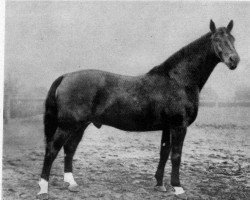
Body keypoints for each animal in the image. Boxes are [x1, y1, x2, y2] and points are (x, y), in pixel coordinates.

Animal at [36, 19, 238, 198]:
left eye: (233, 39)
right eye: (217, 40)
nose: (234, 60)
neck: (178, 80)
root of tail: (66, 76)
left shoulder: (167, 127)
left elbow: (164, 153)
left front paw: (159, 185)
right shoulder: (178, 126)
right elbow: (176, 156)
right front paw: (178, 188)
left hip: (80, 125)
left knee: (69, 149)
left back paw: (71, 183)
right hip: (67, 126)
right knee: (52, 149)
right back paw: (43, 188)